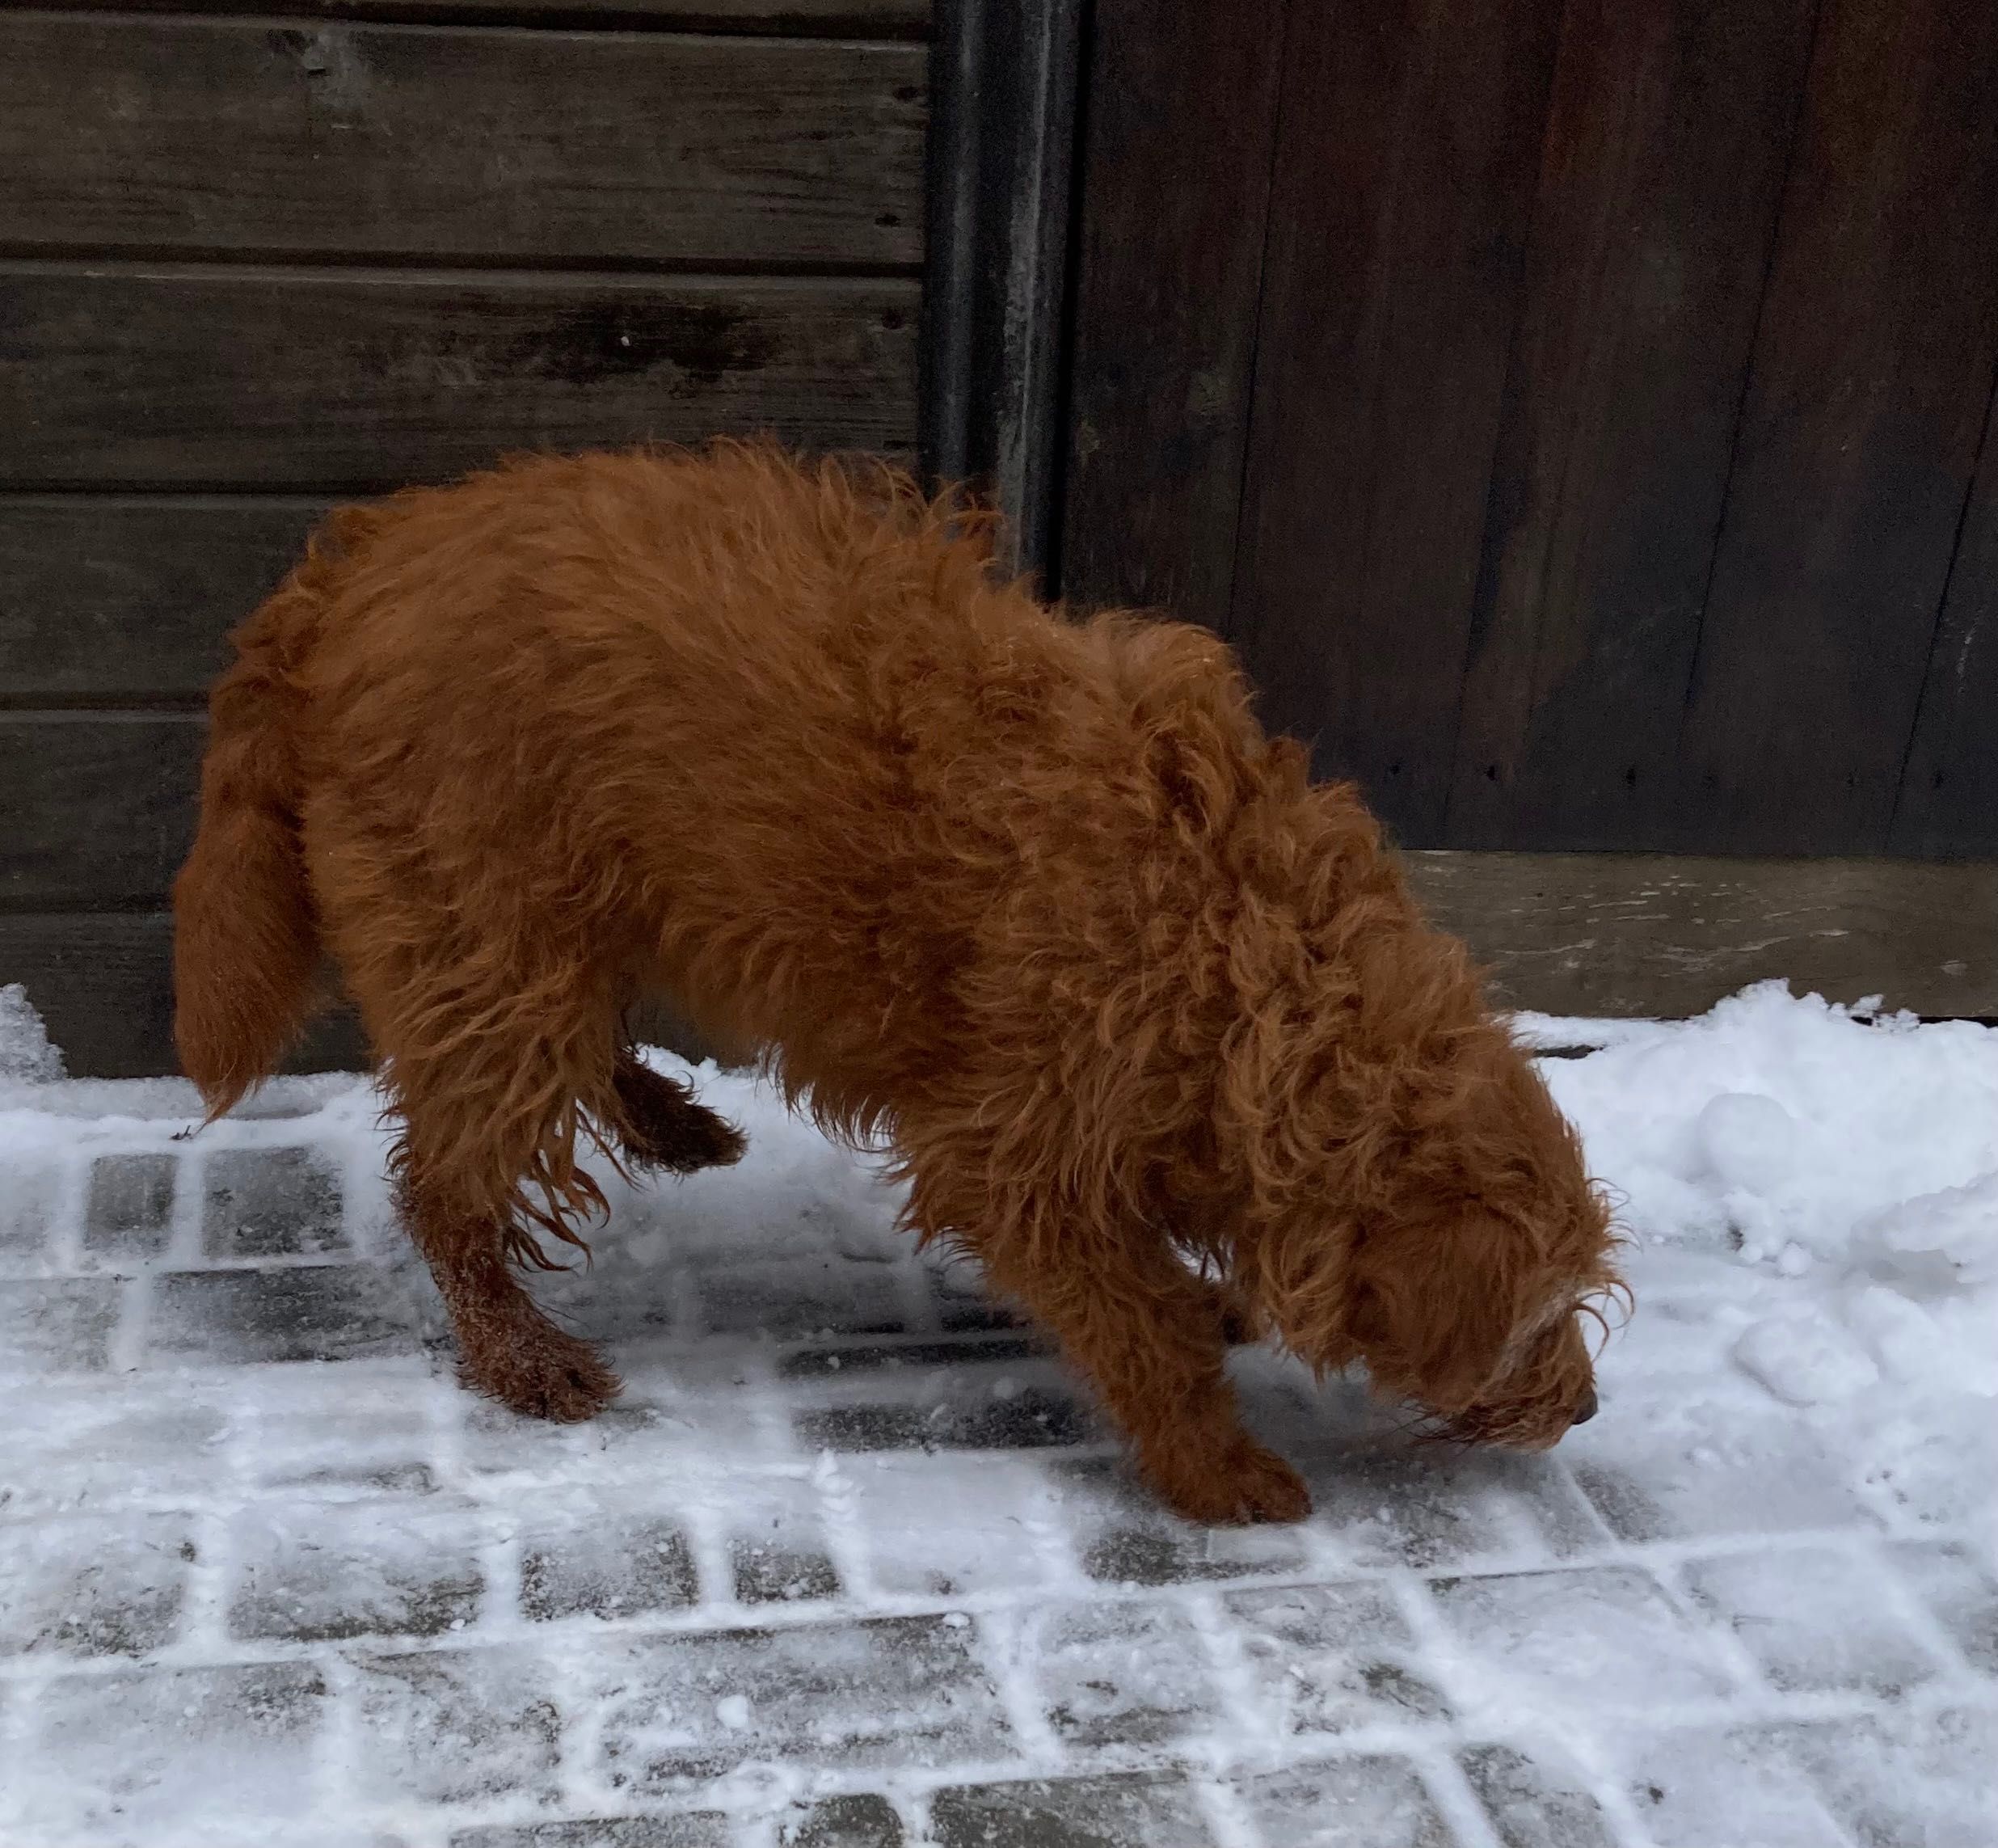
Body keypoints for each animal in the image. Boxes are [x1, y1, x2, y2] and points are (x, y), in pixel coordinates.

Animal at [175, 439, 1622, 1518]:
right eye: (1541, 1312)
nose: (1587, 1404)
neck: (1238, 954)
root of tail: (357, 563)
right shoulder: (1018, 1157)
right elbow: (1133, 1318)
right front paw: (1218, 1463)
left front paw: (1213, 1306)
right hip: (491, 949)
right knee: (447, 1185)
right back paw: (520, 1355)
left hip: (558, 932)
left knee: (571, 1064)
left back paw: (676, 1123)